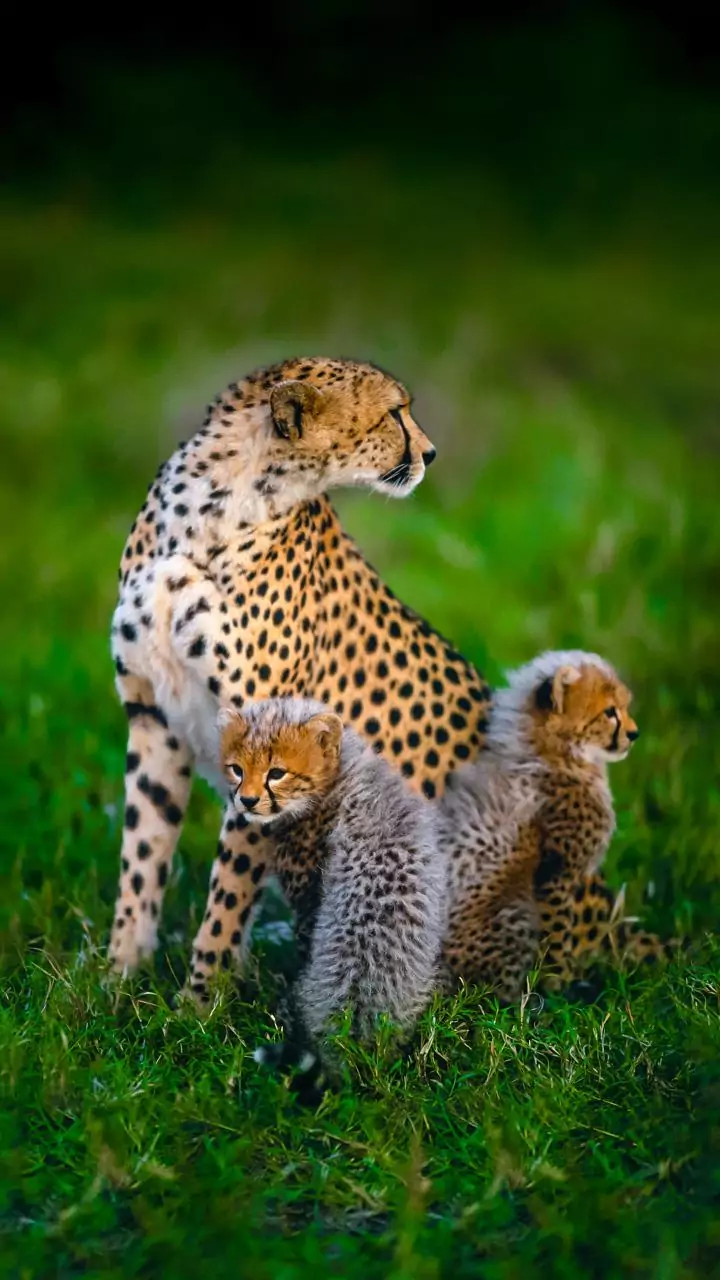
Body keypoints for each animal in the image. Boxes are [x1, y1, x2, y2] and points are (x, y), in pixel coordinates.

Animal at [108, 355, 489, 1000]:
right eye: (395, 413)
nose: (431, 453)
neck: (214, 507)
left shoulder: (268, 745)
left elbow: (229, 891)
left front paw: (198, 1002)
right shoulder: (154, 718)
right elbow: (142, 853)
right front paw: (115, 979)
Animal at [441, 650, 680, 1001]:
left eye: (623, 708)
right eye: (610, 712)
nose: (634, 734)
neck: (557, 753)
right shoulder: (556, 873)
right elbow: (556, 933)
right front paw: (558, 985)